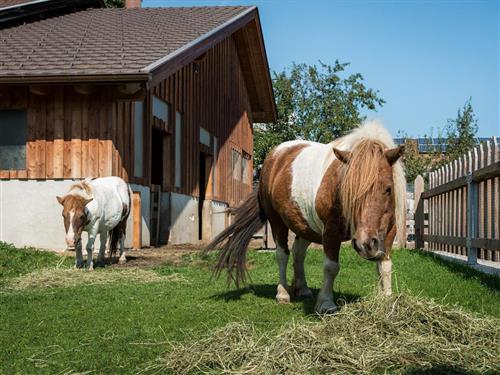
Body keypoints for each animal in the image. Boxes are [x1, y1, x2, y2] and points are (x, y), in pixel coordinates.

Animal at [207, 122, 406, 314]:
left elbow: (385, 266)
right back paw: (283, 293)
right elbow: (331, 267)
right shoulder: (331, 232)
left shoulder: (389, 232)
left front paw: (386, 300)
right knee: (282, 254)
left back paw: (302, 289)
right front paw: (326, 303)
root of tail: (275, 155)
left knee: (298, 253)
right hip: (277, 221)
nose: (365, 243)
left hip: (305, 226)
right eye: (348, 190)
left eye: (388, 189)